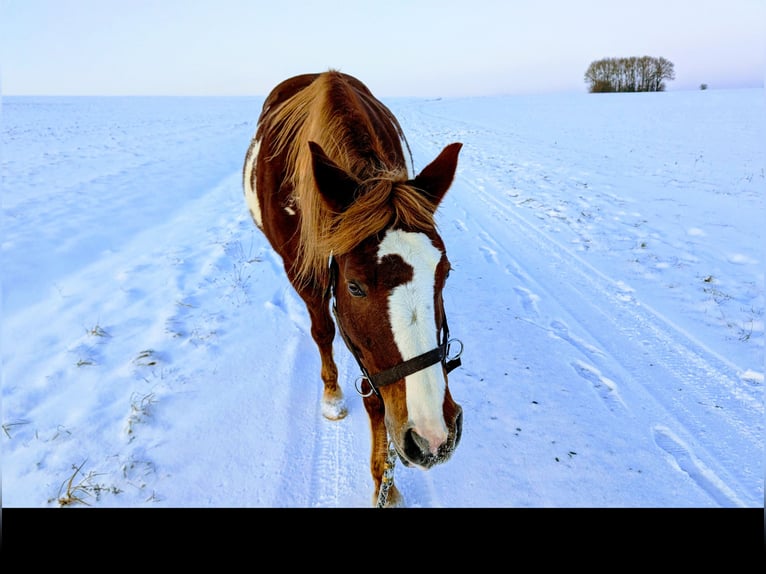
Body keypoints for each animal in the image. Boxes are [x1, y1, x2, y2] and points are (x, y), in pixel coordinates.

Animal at [242, 71, 463, 507]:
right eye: (355, 287)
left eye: (444, 273)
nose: (433, 435)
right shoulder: (306, 275)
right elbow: (324, 331)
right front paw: (331, 396)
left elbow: (380, 399)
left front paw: (385, 484)